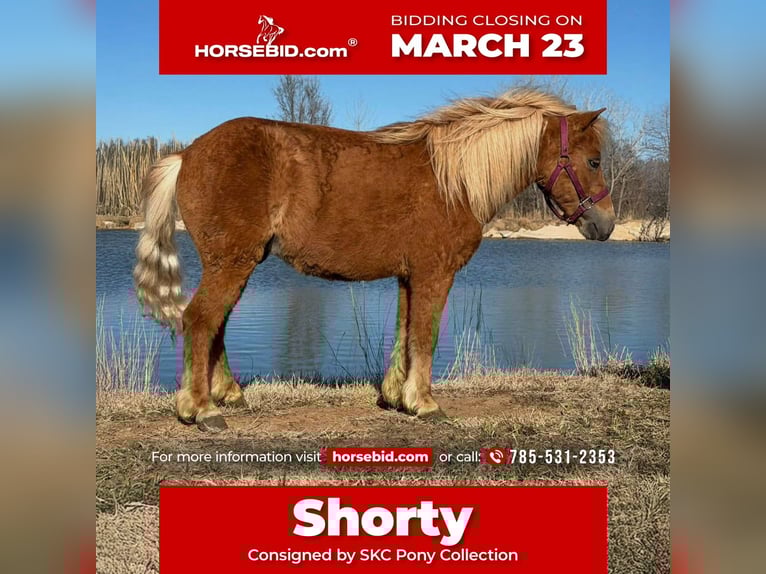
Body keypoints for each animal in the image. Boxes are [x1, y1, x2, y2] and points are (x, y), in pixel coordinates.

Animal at [133, 88, 615, 432]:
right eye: (593, 160)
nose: (607, 225)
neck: (453, 178)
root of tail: (187, 153)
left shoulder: (409, 276)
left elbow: (404, 332)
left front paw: (395, 397)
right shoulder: (434, 274)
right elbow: (425, 336)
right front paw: (425, 403)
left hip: (234, 264)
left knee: (215, 323)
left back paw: (228, 394)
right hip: (232, 262)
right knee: (200, 320)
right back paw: (202, 409)